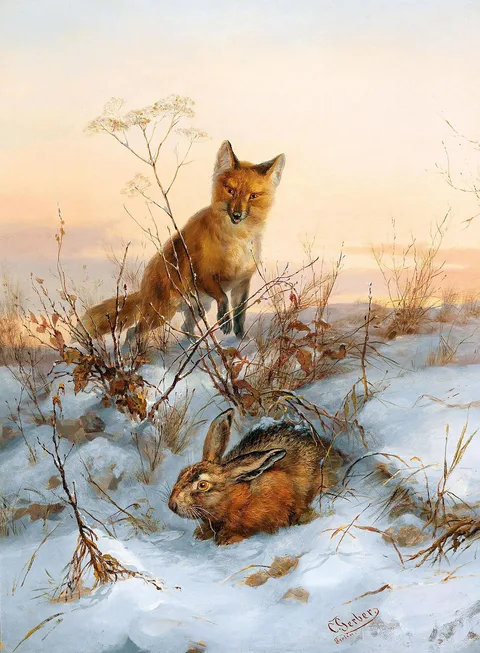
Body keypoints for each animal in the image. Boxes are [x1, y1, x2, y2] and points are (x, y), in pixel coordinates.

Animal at [84, 141, 285, 343]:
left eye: (253, 196)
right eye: (230, 191)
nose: (237, 215)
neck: (237, 241)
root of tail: (143, 287)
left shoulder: (242, 283)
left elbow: (239, 315)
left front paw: (240, 340)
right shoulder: (202, 276)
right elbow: (223, 298)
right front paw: (224, 321)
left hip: (196, 309)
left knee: (185, 327)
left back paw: (197, 344)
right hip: (162, 314)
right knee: (133, 331)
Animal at [168, 408, 345, 545]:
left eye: (203, 485)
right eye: (182, 473)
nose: (172, 505)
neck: (234, 500)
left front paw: (226, 539)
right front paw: (202, 533)